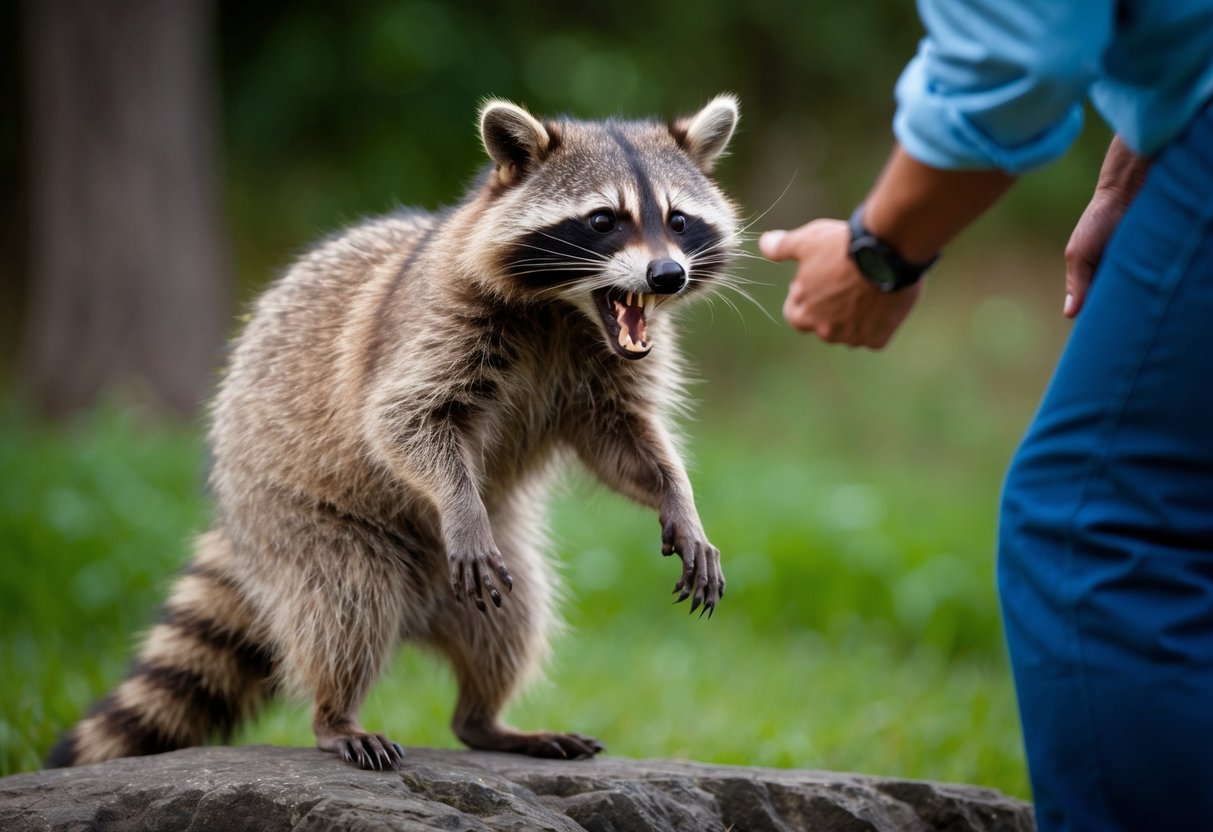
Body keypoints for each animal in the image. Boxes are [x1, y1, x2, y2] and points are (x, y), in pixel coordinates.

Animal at [47, 95, 740, 771]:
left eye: (679, 221)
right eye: (603, 221)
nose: (666, 275)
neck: (567, 310)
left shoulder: (605, 372)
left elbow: (622, 444)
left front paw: (679, 497)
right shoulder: (434, 324)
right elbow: (402, 421)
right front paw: (459, 503)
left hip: (496, 566)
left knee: (512, 624)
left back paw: (485, 719)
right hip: (296, 518)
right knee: (346, 604)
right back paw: (335, 715)